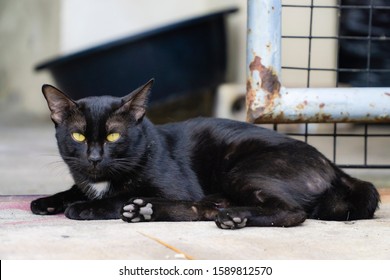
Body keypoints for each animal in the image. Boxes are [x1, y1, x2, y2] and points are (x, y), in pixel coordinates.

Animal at [32, 80, 380, 229]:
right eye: (78, 136)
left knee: (292, 212)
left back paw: (232, 217)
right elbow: (74, 189)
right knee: (204, 209)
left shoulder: (174, 187)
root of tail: (334, 167)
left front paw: (82, 207)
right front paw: (47, 201)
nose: (94, 157)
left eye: (113, 136)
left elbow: (115, 198)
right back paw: (148, 211)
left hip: (243, 171)